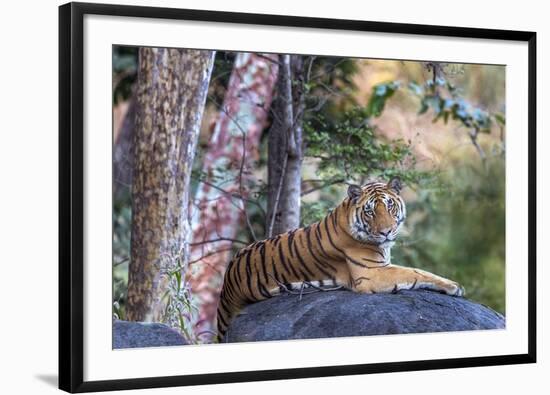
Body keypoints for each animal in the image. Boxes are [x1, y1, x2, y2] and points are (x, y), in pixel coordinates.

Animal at [216, 178, 466, 342]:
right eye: (370, 211)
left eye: (390, 206)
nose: (386, 232)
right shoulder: (372, 274)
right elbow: (416, 272)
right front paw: (454, 286)